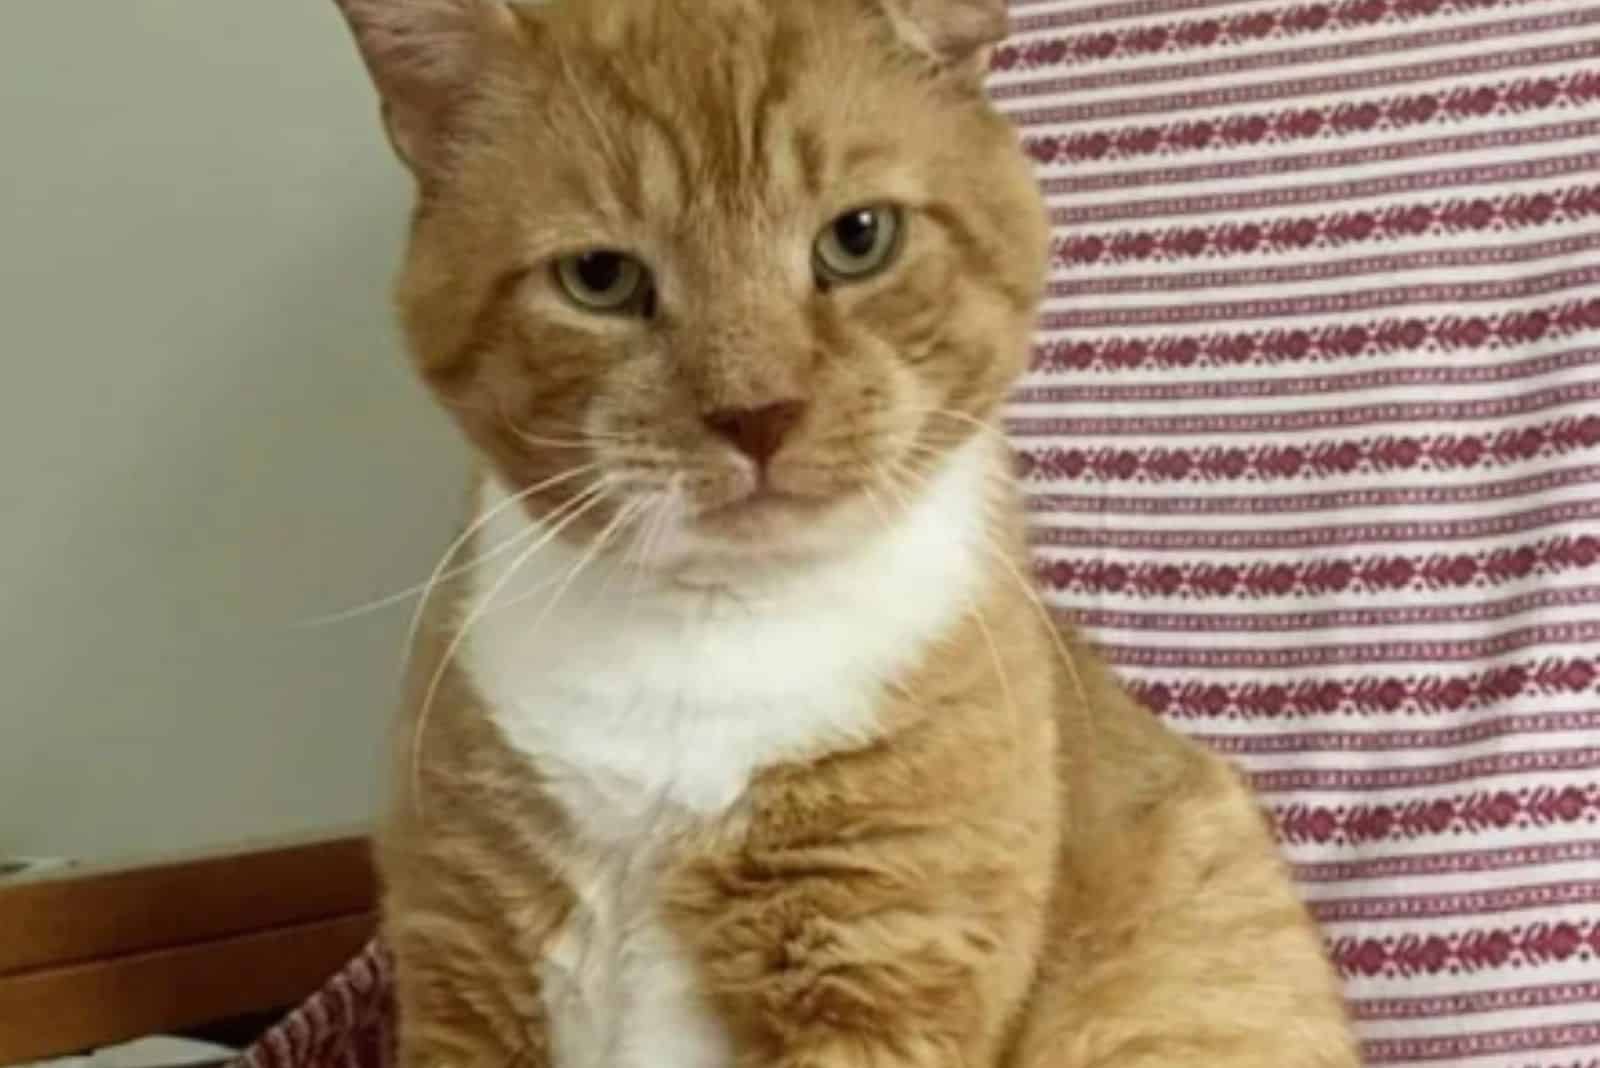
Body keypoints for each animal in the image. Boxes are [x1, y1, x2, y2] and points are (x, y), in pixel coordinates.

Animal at [331, 2, 1356, 1068]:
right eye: (600, 278)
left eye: (859, 238)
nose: (757, 414)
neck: (708, 635)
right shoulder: (462, 966)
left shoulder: (882, 970)